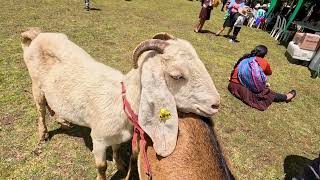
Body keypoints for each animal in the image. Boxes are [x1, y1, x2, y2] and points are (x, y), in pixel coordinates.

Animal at [20, 28, 220, 179]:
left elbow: (116, 150)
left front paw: (122, 165)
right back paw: (43, 134)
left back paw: (63, 120)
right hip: (36, 86)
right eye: (177, 76)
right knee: (41, 110)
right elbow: (101, 166)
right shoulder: (99, 139)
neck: (123, 101)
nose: (216, 104)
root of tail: (36, 36)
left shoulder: (117, 137)